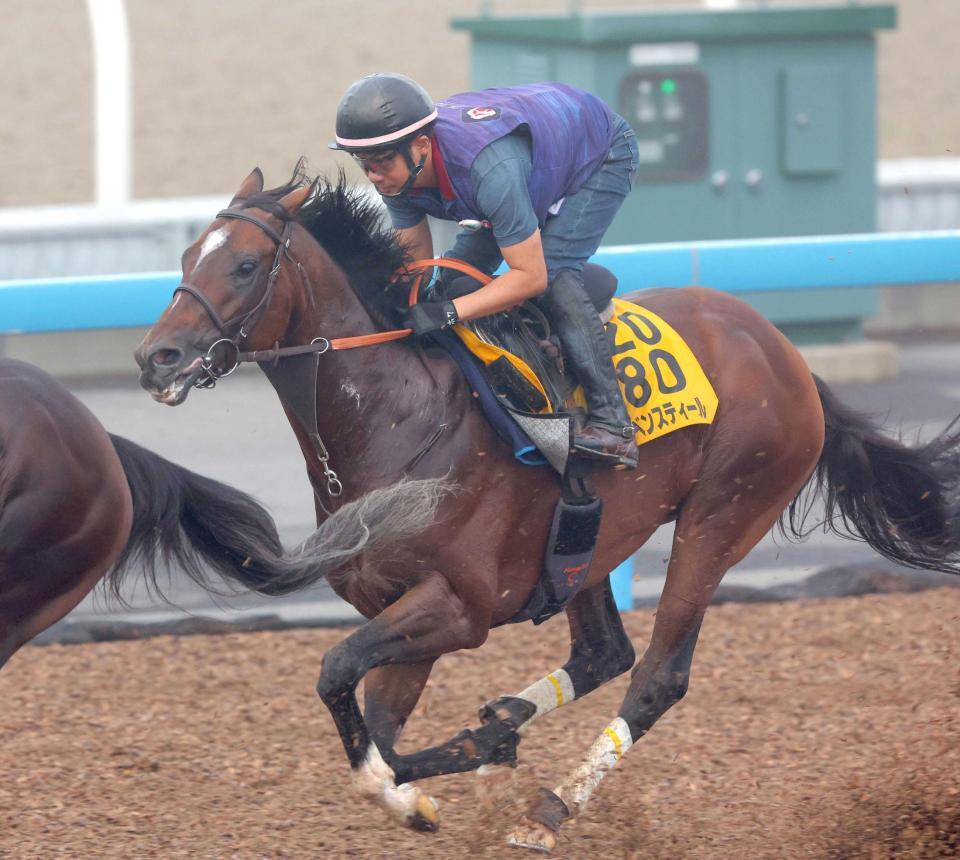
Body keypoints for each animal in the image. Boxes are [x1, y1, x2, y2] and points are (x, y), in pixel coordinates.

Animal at [135, 168, 960, 852]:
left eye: (244, 265)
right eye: (187, 258)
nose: (155, 358)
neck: (397, 416)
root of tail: (787, 355)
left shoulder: (457, 607)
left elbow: (340, 678)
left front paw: (425, 789)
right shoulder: (406, 610)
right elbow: (381, 732)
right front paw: (472, 755)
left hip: (721, 517)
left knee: (656, 676)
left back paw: (550, 810)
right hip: (590, 544)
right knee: (603, 653)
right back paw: (509, 729)